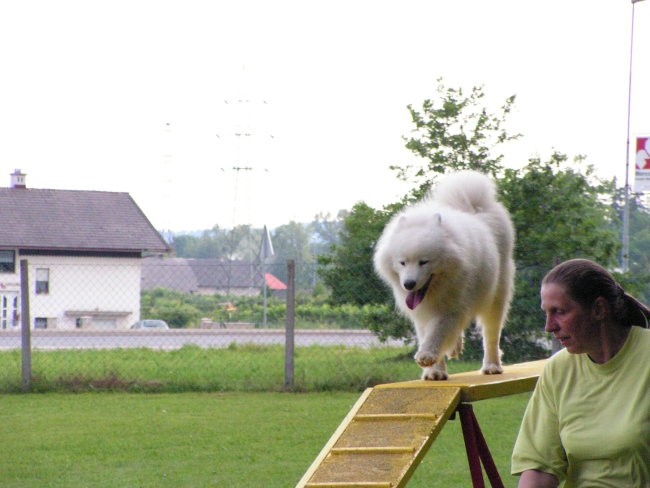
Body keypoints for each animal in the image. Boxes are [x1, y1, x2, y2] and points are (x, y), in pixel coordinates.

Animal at [372, 172, 512, 382]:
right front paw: (434, 372)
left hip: (495, 298)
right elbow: (430, 334)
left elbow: (437, 333)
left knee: (491, 335)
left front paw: (426, 355)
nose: (409, 284)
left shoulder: (451, 308)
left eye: (424, 262)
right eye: (402, 262)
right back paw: (456, 348)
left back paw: (491, 366)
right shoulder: (424, 313)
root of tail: (473, 206)